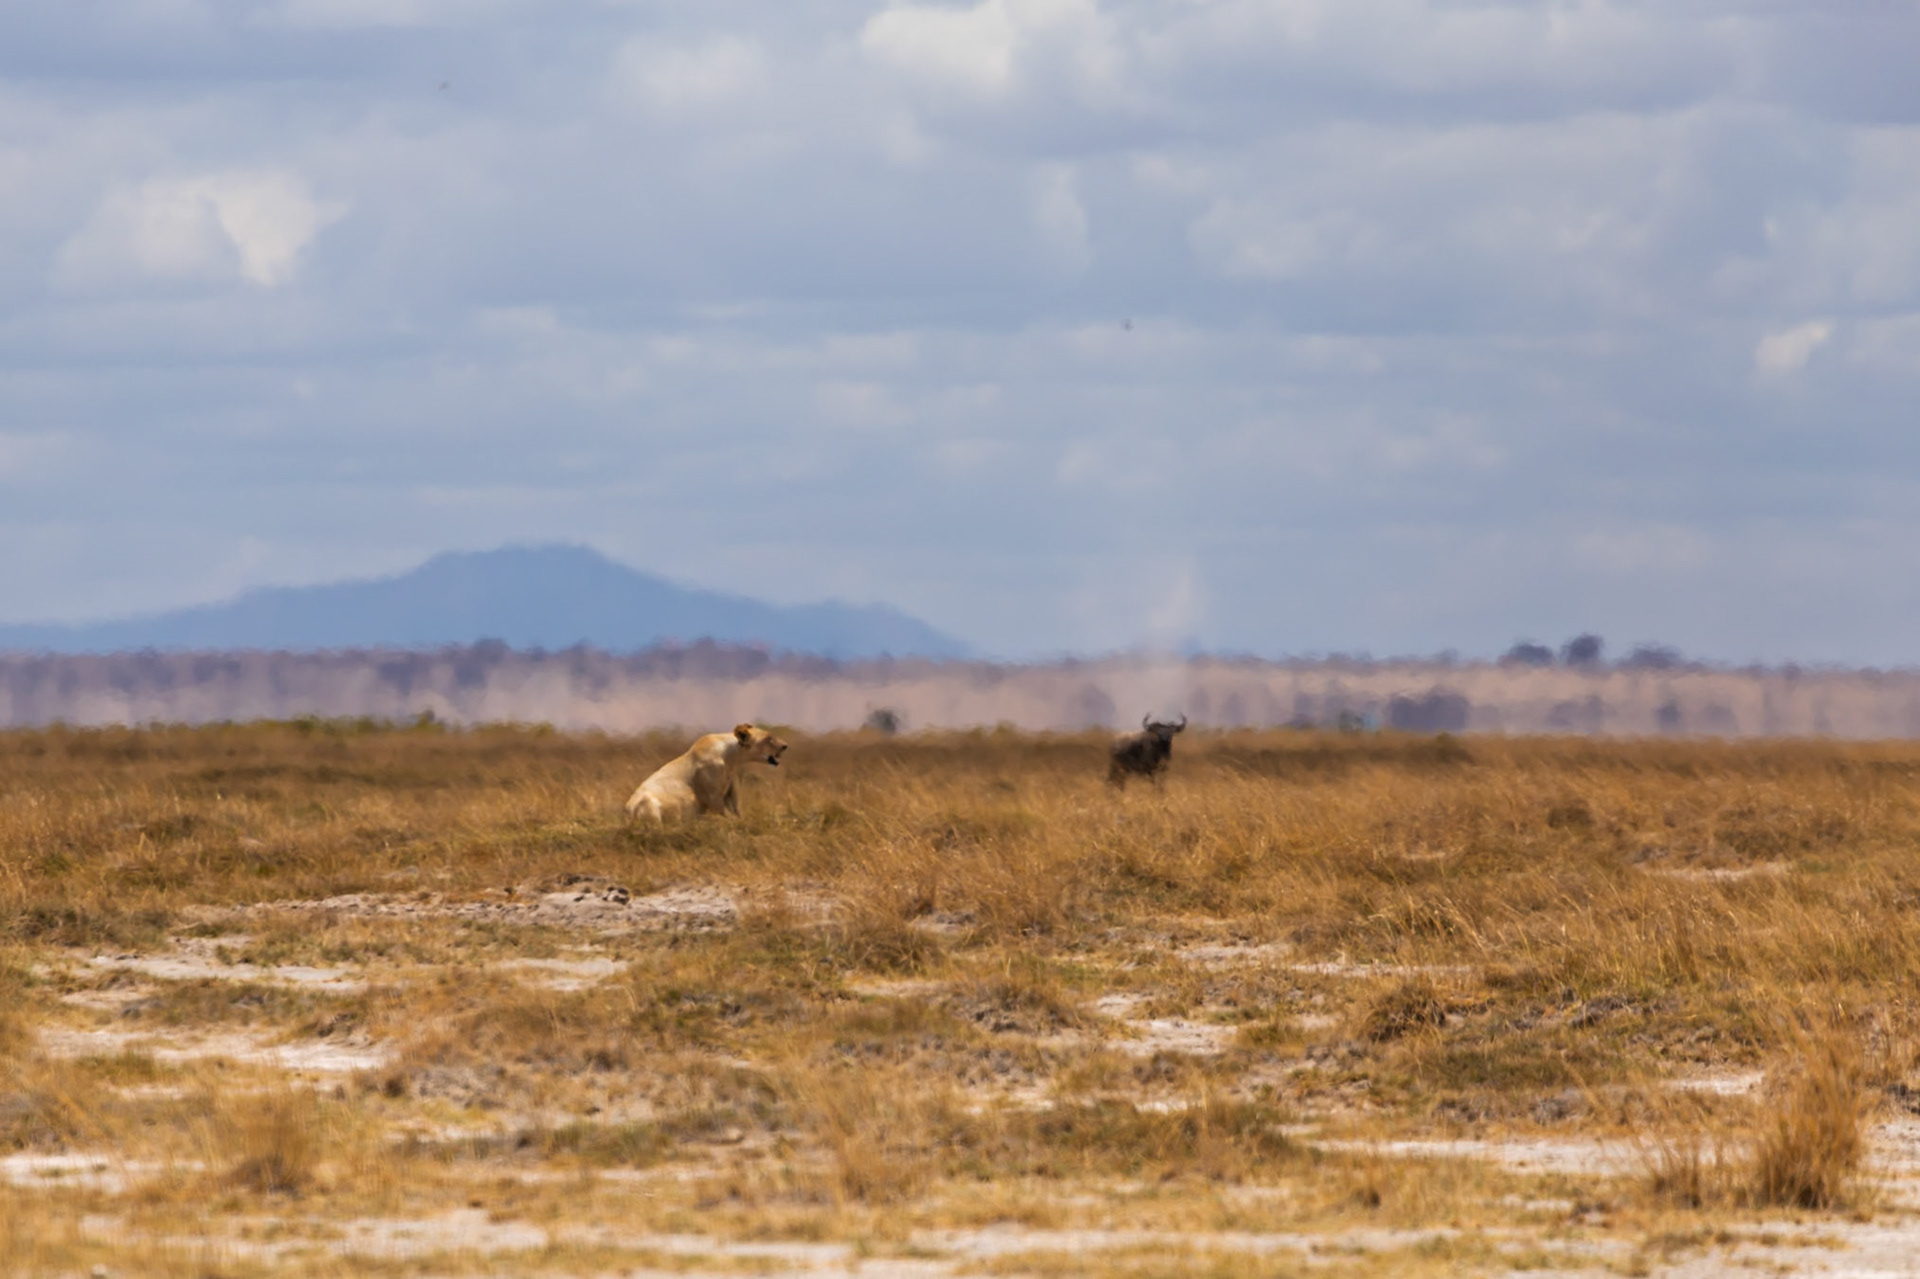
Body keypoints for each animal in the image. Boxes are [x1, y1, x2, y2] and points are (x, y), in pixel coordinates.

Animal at [623, 723, 788, 825]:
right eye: (768, 738)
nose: (785, 746)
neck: (731, 758)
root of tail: (627, 812)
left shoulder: (730, 794)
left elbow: (737, 813)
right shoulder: (712, 797)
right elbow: (726, 817)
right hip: (647, 801)